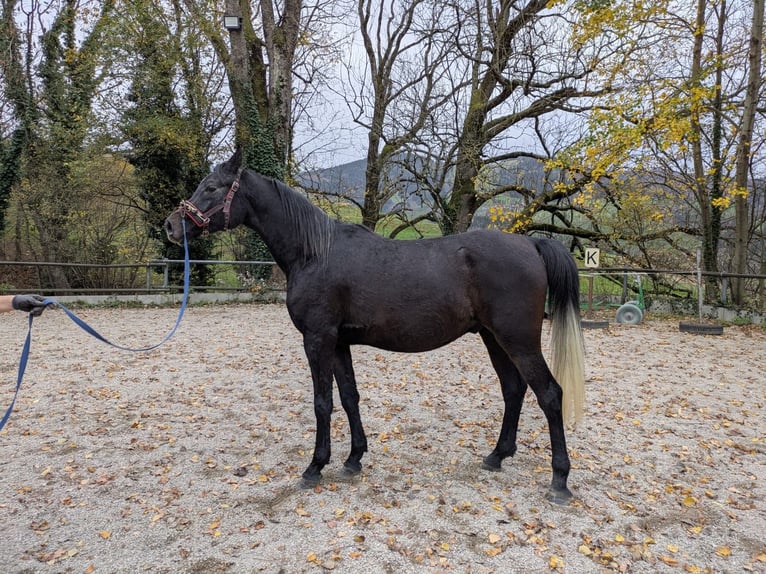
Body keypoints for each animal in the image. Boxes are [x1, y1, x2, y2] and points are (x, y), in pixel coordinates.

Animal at [164, 149, 585, 503]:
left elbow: (322, 402)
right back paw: (497, 455)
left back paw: (559, 481)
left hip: (518, 340)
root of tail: (530, 245)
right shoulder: (338, 343)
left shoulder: (317, 339)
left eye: (212, 187)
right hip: (493, 338)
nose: (170, 226)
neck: (314, 252)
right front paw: (353, 459)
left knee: (549, 394)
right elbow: (349, 397)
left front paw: (315, 466)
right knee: (514, 390)